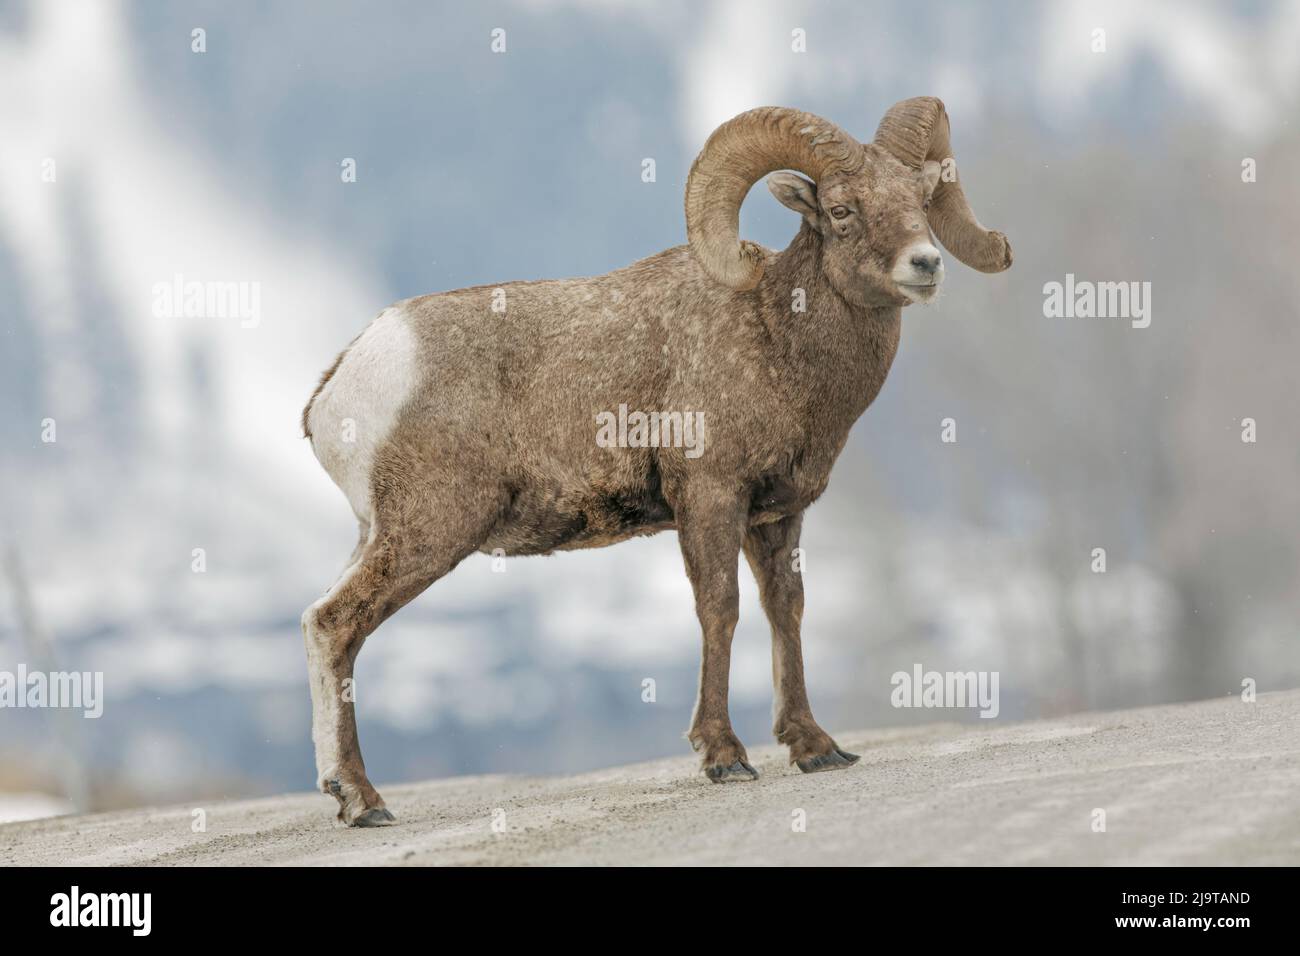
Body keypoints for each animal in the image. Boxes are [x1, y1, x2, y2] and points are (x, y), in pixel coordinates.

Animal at [301, 98, 1012, 826]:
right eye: (842, 210)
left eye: (921, 199)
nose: (925, 264)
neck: (775, 339)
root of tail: (345, 383)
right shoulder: (710, 498)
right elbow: (720, 608)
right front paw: (724, 757)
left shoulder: (776, 516)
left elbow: (786, 608)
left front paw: (816, 748)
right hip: (430, 532)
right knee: (336, 624)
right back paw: (362, 801)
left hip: (379, 535)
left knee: (320, 620)